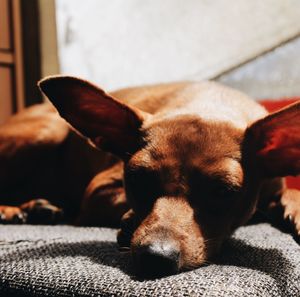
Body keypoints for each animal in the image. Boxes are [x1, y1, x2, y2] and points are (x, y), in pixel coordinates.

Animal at [0, 75, 300, 276]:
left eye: (224, 192)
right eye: (137, 180)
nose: (157, 257)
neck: (210, 103)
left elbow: (293, 191)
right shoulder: (96, 192)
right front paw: (128, 222)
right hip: (45, 131)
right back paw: (14, 210)